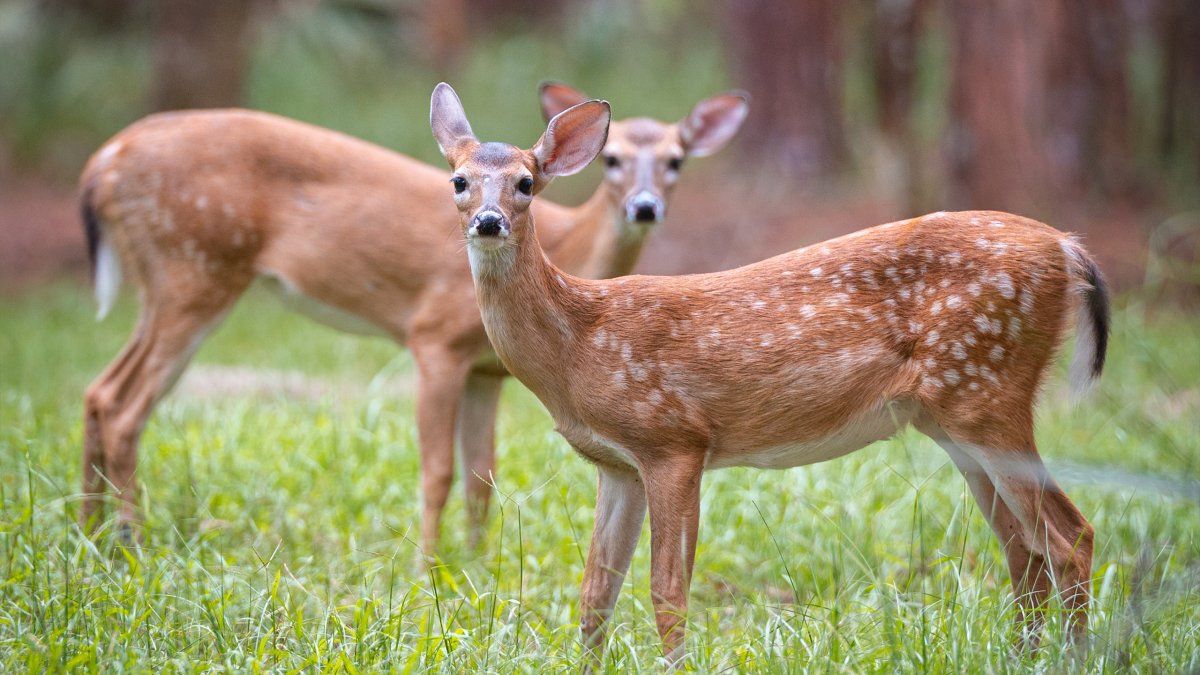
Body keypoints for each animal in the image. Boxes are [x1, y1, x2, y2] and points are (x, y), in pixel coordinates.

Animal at [77, 86, 749, 553]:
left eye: (676, 160)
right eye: (612, 160)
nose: (645, 207)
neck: (570, 251)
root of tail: (103, 160)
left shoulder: (486, 369)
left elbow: (482, 474)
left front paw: (479, 565)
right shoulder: (434, 339)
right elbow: (438, 472)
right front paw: (427, 571)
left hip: (171, 278)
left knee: (99, 389)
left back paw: (90, 536)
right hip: (195, 265)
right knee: (126, 404)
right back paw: (130, 541)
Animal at [429, 82, 1109, 666]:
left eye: (525, 183)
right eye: (459, 181)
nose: (488, 221)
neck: (580, 344)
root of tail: (1069, 248)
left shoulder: (674, 440)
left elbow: (667, 592)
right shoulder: (617, 464)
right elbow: (596, 594)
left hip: (989, 389)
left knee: (1070, 538)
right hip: (953, 416)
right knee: (1024, 551)